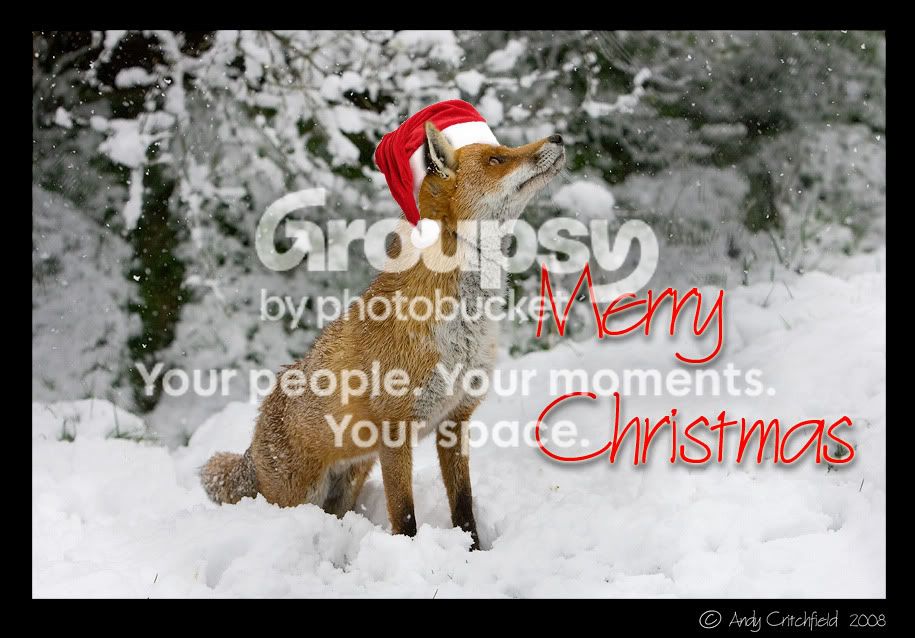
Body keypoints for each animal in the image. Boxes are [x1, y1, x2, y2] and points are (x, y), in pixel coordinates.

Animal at [201, 121, 565, 550]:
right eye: (497, 158)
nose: (558, 138)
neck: (461, 329)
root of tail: (255, 436)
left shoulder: (455, 419)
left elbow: (463, 504)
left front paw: (473, 550)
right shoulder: (395, 431)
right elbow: (404, 515)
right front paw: (411, 554)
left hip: (350, 481)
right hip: (298, 495)